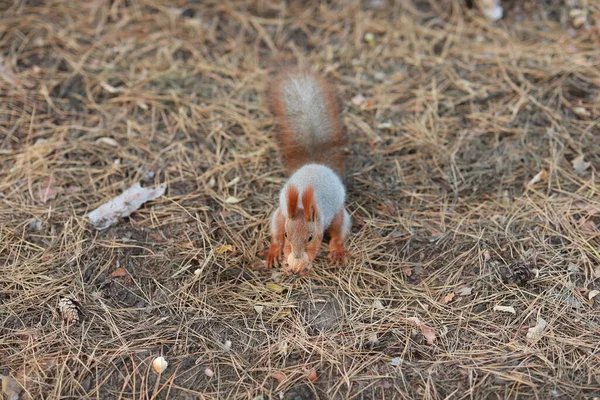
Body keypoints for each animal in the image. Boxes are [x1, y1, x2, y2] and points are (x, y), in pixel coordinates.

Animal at [262, 68, 352, 276]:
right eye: (288, 234)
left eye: (310, 237)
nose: (295, 256)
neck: (303, 206)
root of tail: (316, 165)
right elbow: (279, 236)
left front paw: (305, 264)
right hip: (279, 214)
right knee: (275, 231)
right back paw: (274, 251)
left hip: (338, 214)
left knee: (339, 232)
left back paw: (337, 250)